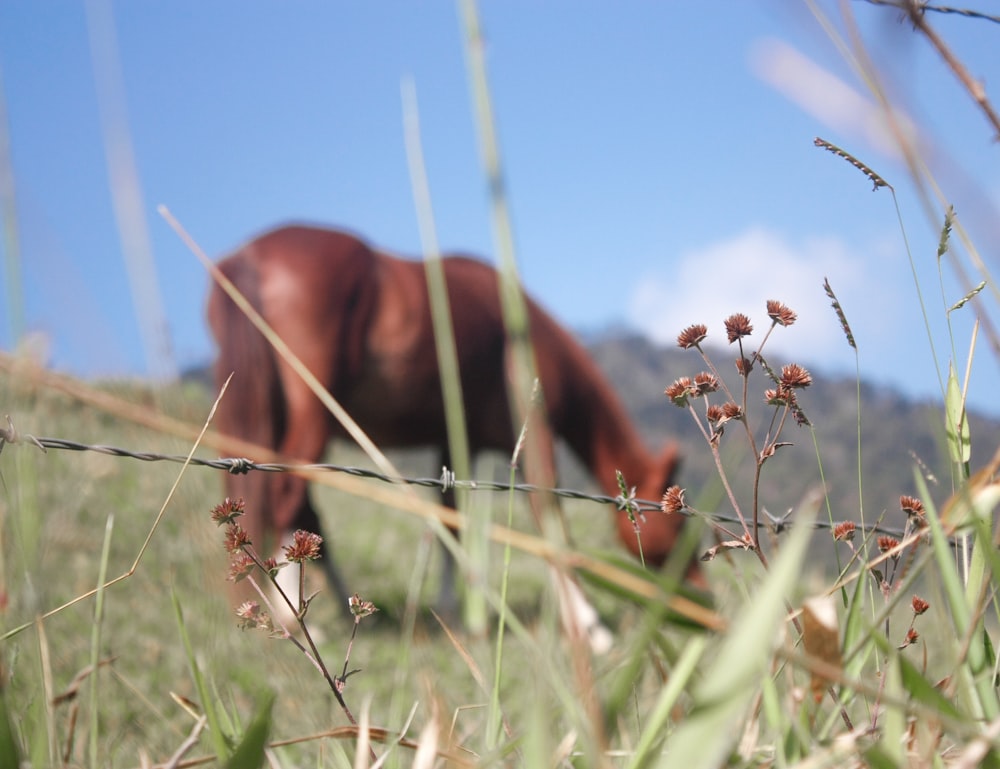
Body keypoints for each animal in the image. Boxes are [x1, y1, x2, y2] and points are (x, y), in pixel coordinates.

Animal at [209, 224, 696, 616]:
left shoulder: (455, 439)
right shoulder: (534, 434)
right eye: (675, 526)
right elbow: (551, 522)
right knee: (289, 497)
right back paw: (296, 616)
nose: (698, 593)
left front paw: (453, 610)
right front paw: (590, 626)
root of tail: (249, 257)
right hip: (313, 409)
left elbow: (449, 517)